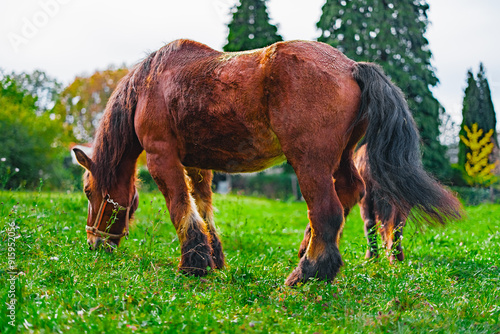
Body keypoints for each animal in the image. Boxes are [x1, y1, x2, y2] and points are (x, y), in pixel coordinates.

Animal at [72, 38, 462, 284]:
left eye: (89, 192)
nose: (93, 243)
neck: (150, 85)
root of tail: (352, 66)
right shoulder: (197, 164)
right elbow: (203, 206)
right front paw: (213, 258)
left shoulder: (161, 157)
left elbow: (180, 207)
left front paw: (193, 264)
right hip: (341, 160)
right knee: (350, 193)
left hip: (310, 164)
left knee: (327, 211)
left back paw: (307, 272)